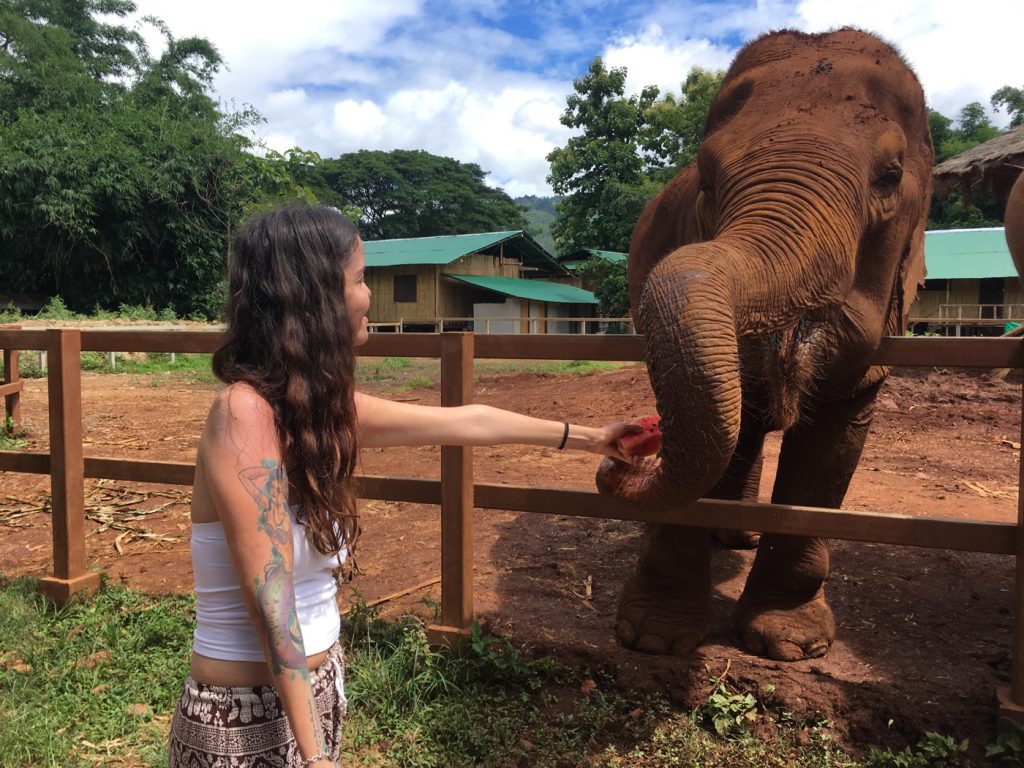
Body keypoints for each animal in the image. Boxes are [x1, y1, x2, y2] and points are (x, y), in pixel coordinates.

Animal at [593, 30, 937, 663]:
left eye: (890, 175)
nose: (614, 464)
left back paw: (740, 535)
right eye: (706, 180)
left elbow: (833, 442)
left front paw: (791, 645)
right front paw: (653, 638)